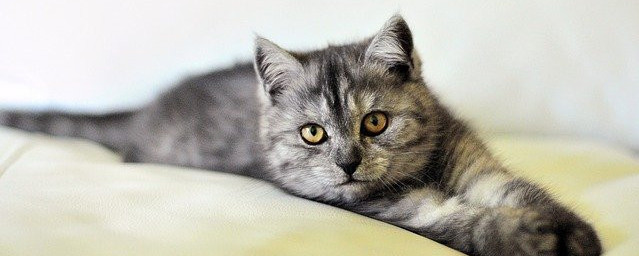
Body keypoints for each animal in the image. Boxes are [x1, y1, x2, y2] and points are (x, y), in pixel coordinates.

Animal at [0, 14, 600, 256]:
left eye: (375, 122)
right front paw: (532, 238)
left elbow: (515, 190)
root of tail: (146, 110)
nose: (348, 163)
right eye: (313, 133)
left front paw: (572, 232)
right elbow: (459, 220)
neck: (424, 169)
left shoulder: (474, 163)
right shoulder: (388, 208)